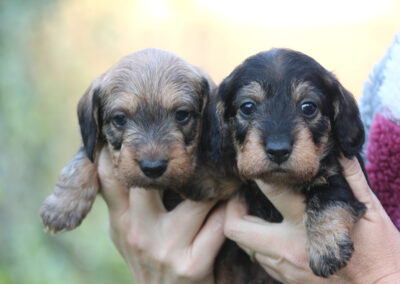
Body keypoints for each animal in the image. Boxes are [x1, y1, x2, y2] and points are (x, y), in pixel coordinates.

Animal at [209, 48, 368, 278]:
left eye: (308, 107)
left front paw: (327, 246)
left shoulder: (336, 174)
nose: (278, 150)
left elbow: (328, 197)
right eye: (247, 107)